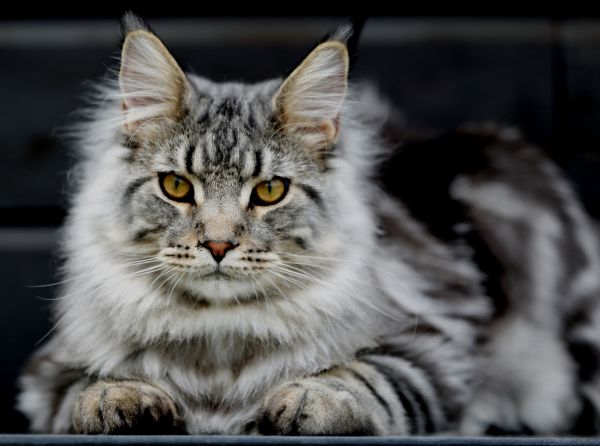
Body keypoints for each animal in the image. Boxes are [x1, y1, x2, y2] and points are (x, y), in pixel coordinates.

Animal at [14, 13, 600, 436]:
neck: (218, 347)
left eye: (269, 192)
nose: (218, 245)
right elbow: (87, 388)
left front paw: (310, 399)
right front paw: (121, 397)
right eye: (177, 187)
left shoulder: (436, 343)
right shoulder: (51, 369)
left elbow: (364, 376)